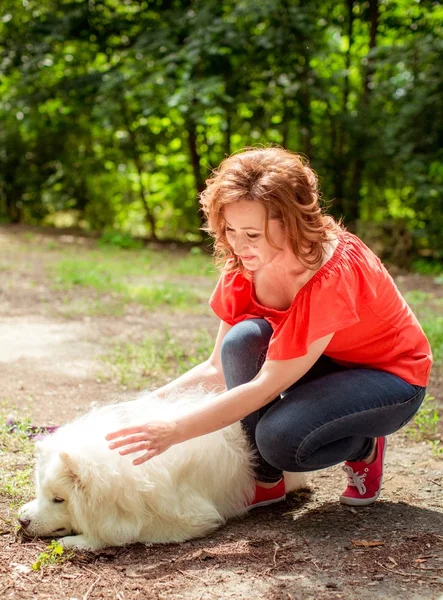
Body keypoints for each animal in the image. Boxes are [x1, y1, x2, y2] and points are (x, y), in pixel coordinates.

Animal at [18, 386, 308, 552]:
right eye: (41, 493)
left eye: (59, 500)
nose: (22, 522)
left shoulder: (193, 518)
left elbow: (127, 530)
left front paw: (80, 541)